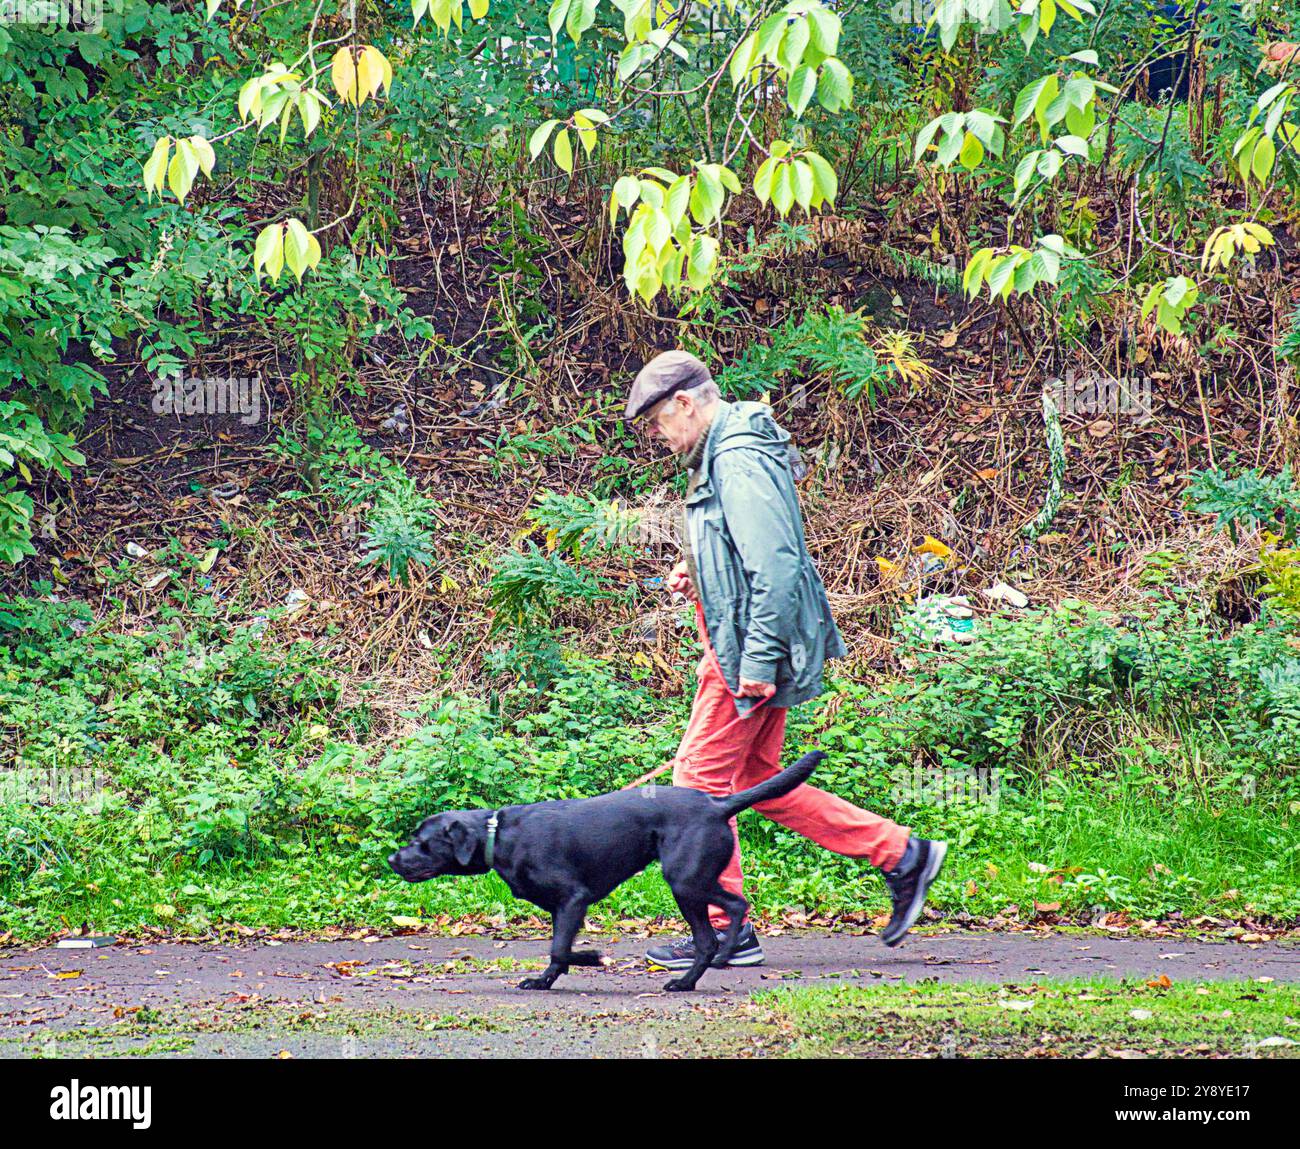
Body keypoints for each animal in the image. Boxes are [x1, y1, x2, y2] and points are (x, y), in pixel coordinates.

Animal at [384, 748, 821, 993]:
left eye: (422, 843)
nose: (392, 860)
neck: (497, 835)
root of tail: (718, 804)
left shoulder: (573, 899)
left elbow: (560, 949)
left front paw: (591, 958)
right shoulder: (561, 908)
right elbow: (557, 952)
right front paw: (544, 981)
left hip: (685, 880)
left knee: (733, 909)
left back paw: (726, 953)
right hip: (690, 886)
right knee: (707, 938)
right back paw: (684, 982)